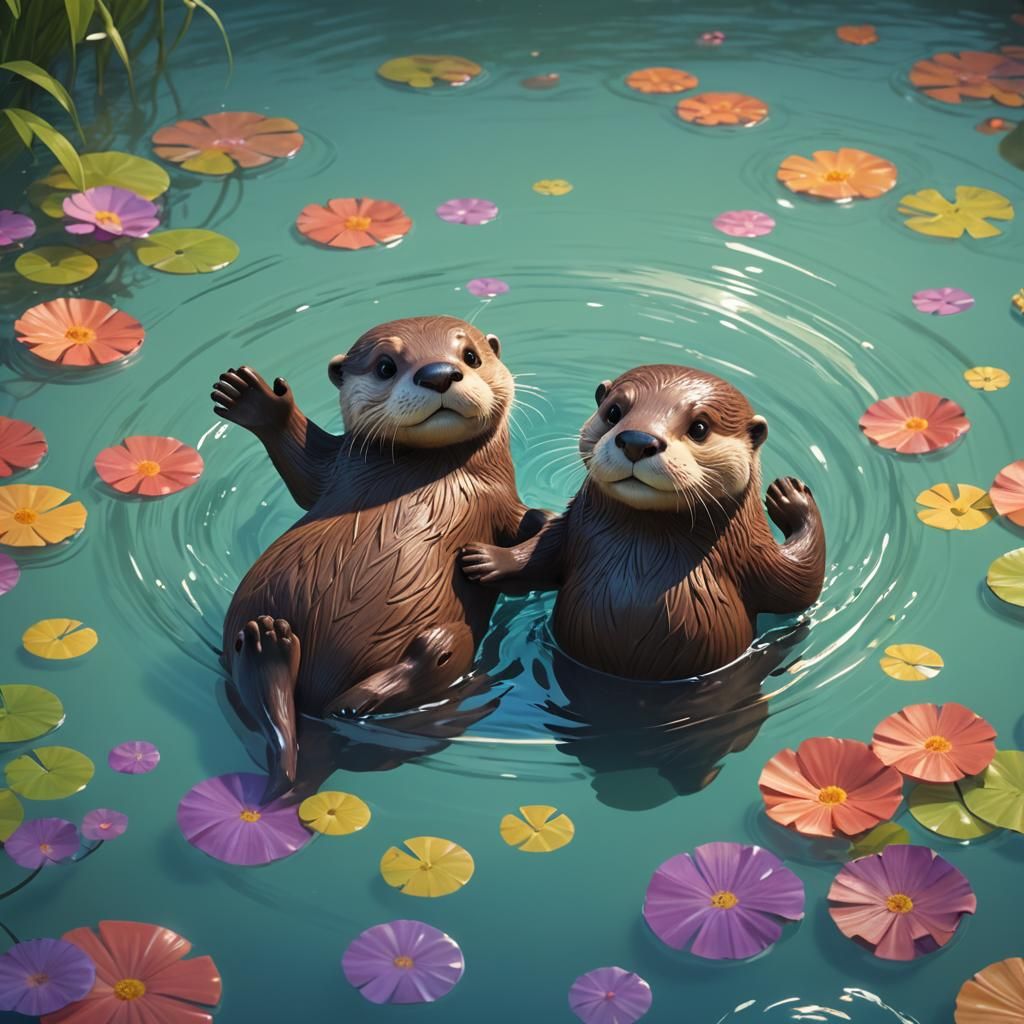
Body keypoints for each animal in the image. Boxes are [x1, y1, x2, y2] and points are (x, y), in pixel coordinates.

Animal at [212, 316, 549, 798]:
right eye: (386, 366)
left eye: (470, 355)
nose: (438, 374)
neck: (426, 473)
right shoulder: (338, 467)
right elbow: (305, 472)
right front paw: (253, 399)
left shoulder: (502, 506)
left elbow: (534, 527)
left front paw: (503, 552)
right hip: (252, 604)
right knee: (261, 690)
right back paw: (269, 650)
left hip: (450, 645)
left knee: (433, 661)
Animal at [461, 364, 825, 680]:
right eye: (614, 412)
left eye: (700, 427)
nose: (637, 440)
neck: (641, 560)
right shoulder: (571, 533)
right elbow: (539, 558)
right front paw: (487, 559)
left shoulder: (753, 555)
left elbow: (800, 584)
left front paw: (791, 496)